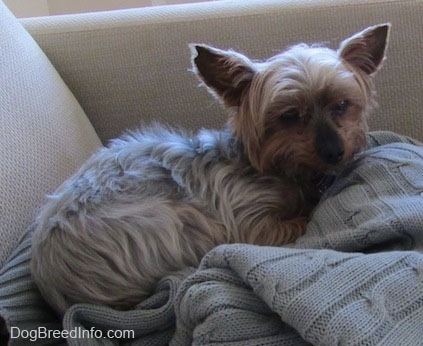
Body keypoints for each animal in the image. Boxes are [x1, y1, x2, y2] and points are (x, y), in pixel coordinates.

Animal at [32, 23, 390, 314]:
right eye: (289, 116)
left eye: (341, 105)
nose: (335, 152)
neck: (275, 170)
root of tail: (57, 287)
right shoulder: (250, 223)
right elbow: (291, 221)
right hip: (165, 221)